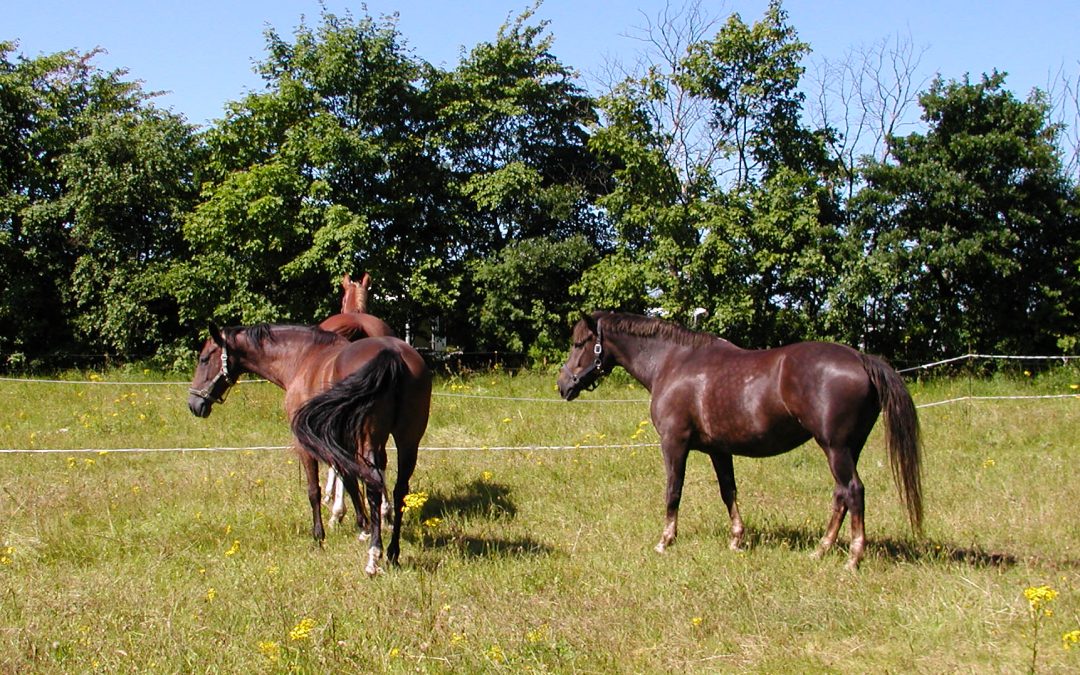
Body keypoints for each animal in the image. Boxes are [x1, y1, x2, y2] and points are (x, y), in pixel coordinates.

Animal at [190, 321, 429, 574]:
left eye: (204, 359)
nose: (194, 403)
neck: (301, 358)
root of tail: (392, 354)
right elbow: (349, 479)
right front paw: (361, 524)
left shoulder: (306, 443)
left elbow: (315, 490)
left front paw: (319, 537)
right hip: (407, 441)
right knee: (398, 489)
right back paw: (393, 552)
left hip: (368, 439)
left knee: (374, 484)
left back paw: (374, 557)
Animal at [557, 311, 920, 570]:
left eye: (579, 344)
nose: (563, 385)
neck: (671, 363)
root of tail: (861, 359)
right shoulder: (719, 450)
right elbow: (728, 491)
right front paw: (736, 539)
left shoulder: (674, 443)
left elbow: (673, 490)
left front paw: (665, 541)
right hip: (848, 449)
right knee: (841, 495)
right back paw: (821, 550)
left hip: (836, 449)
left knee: (853, 491)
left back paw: (853, 558)